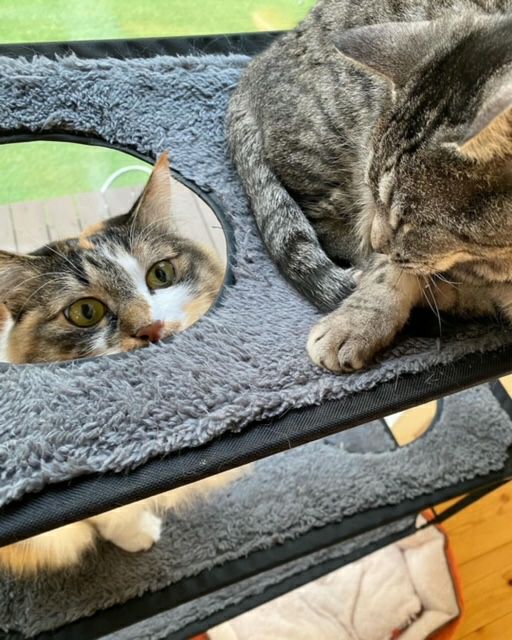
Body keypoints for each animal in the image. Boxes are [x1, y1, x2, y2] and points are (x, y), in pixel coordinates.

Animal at [229, 0, 512, 373]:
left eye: (410, 222)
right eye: (375, 190)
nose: (377, 243)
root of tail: (260, 62)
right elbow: (391, 274)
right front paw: (355, 322)